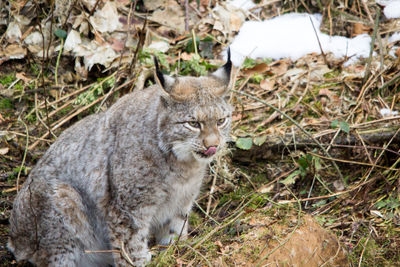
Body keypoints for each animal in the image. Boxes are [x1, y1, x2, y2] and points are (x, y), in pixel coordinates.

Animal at [8, 51, 234, 266]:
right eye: (193, 124)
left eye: (221, 121)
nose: (213, 145)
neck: (183, 164)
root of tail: (14, 237)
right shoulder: (128, 209)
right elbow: (130, 245)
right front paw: (140, 262)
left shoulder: (181, 202)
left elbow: (174, 231)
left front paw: (174, 251)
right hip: (64, 201)